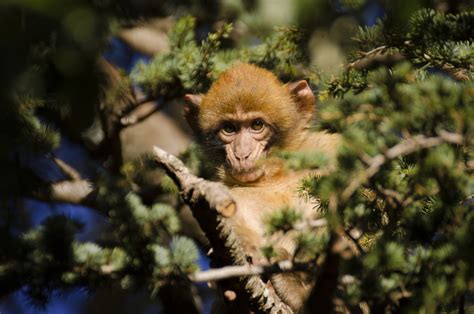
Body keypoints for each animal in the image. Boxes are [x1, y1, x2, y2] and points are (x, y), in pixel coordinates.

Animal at [183, 63, 338, 312]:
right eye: (229, 128)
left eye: (257, 125)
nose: (241, 153)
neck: (275, 175)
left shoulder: (328, 149)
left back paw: (297, 289)